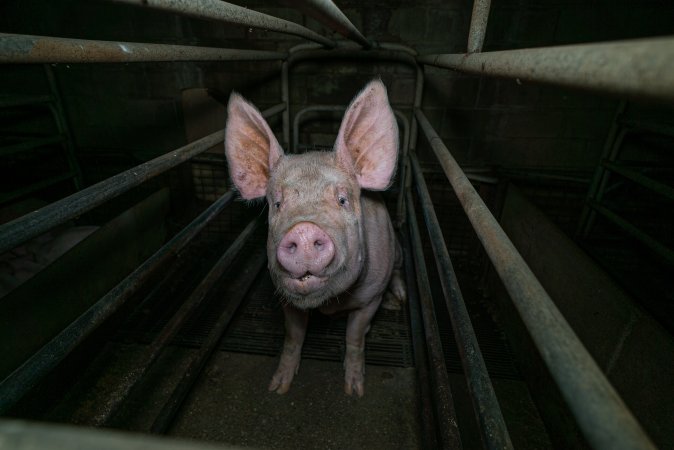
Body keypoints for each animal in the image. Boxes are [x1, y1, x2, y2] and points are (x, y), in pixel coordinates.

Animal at [224, 79, 404, 396]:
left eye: (343, 200)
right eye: (277, 203)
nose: (304, 230)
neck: (329, 305)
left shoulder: (370, 298)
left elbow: (355, 336)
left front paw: (354, 390)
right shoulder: (285, 297)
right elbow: (294, 336)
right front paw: (278, 387)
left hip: (397, 253)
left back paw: (398, 301)